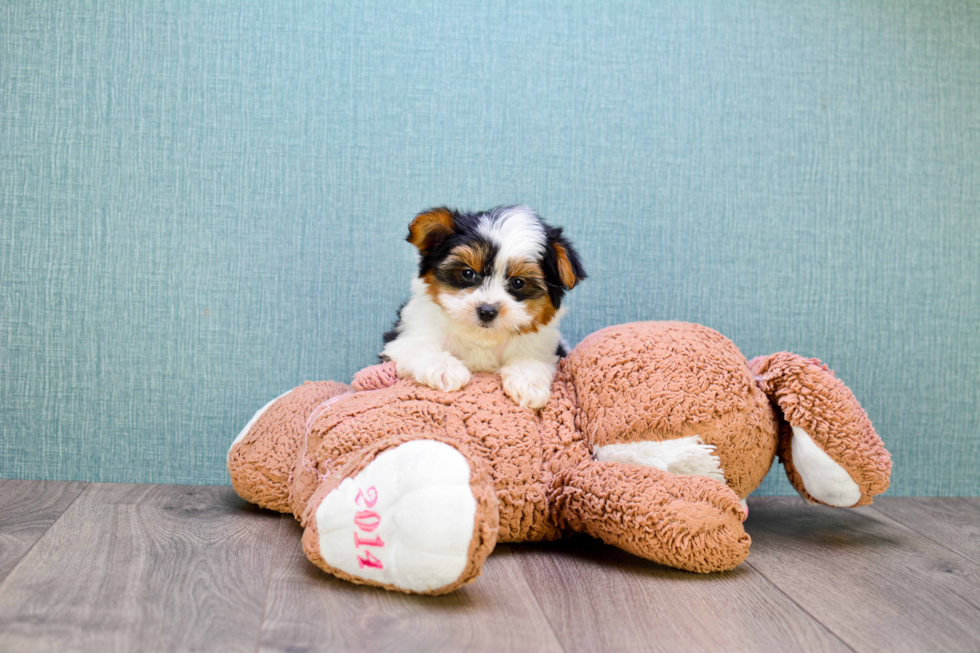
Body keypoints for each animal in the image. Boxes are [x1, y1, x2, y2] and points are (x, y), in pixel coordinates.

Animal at [380, 204, 580, 408]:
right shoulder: (406, 337)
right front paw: (444, 368)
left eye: (518, 283)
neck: (481, 338)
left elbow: (532, 359)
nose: (487, 311)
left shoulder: (544, 348)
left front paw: (528, 383)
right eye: (468, 273)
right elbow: (419, 346)